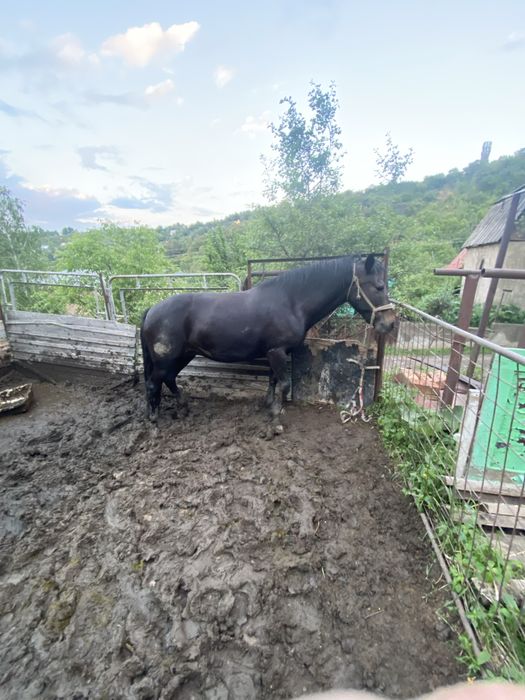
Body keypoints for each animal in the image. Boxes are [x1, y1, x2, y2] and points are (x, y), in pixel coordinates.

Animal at [140, 254, 395, 433]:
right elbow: (283, 384)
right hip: (167, 358)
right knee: (154, 384)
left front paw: (270, 406)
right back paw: (153, 423)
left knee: (169, 379)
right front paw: (275, 422)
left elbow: (273, 381)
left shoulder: (275, 352)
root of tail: (152, 309)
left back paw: (183, 409)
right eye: (379, 286)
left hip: (183, 354)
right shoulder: (277, 352)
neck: (291, 301)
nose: (391, 323)